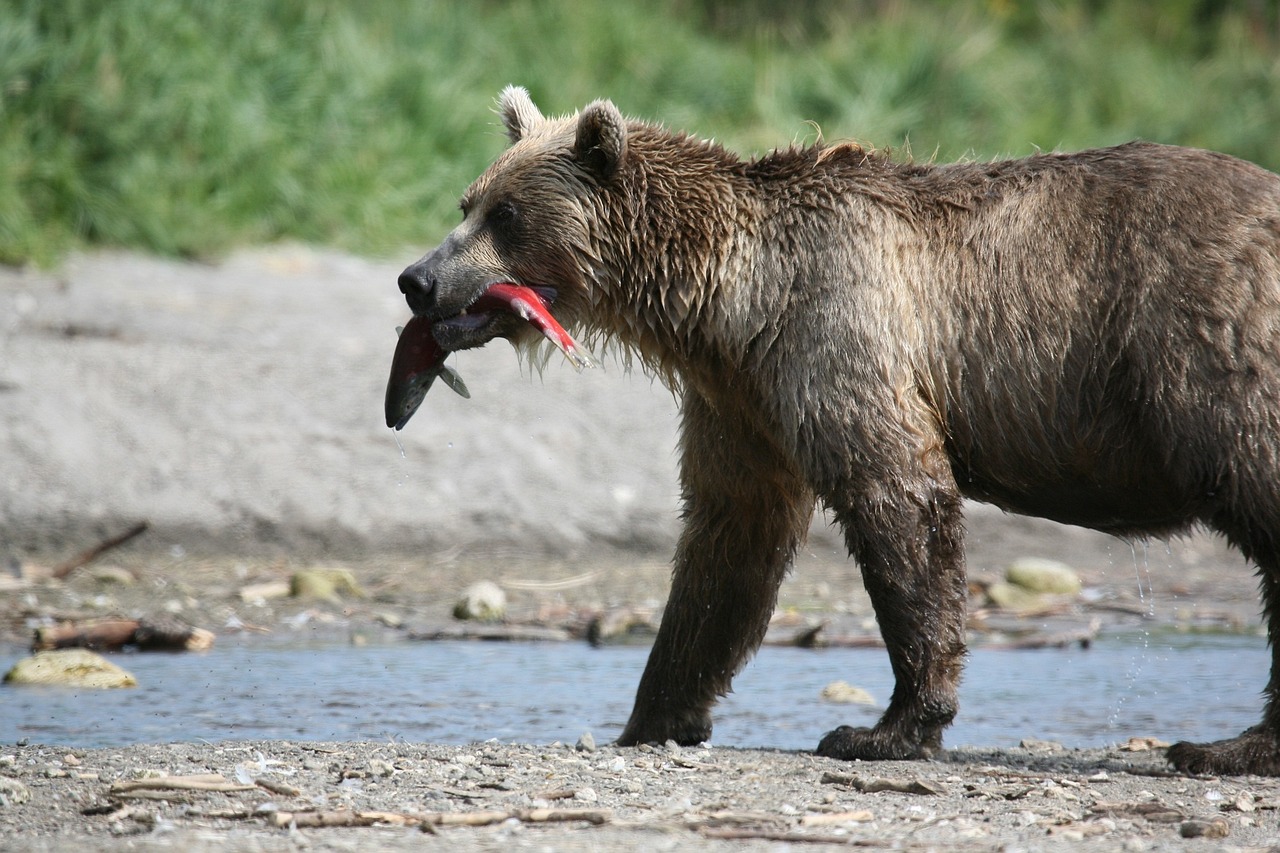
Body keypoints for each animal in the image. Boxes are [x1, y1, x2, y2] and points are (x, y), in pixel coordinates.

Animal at [394, 85, 1280, 776]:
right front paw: (652, 715)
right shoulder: (742, 401)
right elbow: (728, 543)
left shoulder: (839, 330)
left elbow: (898, 502)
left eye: (506, 213)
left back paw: (1228, 745)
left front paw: (882, 728)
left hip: (1205, 348)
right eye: (469, 201)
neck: (730, 304)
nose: (417, 277)